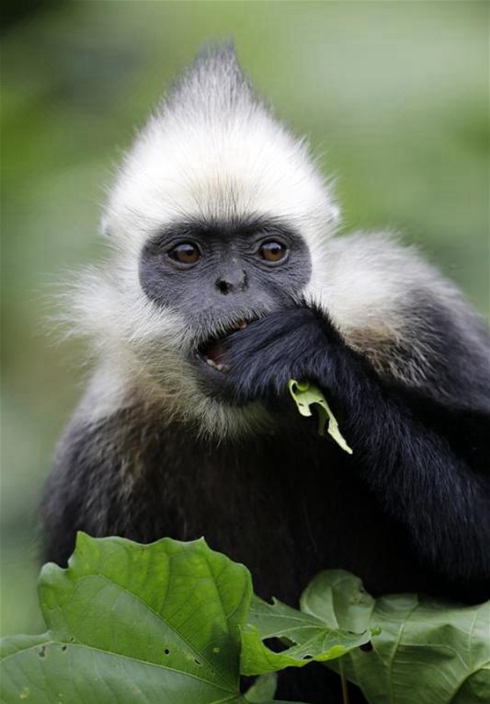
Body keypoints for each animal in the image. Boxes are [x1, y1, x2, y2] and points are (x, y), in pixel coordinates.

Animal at [43, 45, 490, 704]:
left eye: (270, 252)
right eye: (187, 254)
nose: (233, 284)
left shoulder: (418, 321)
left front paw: (310, 353)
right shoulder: (95, 460)